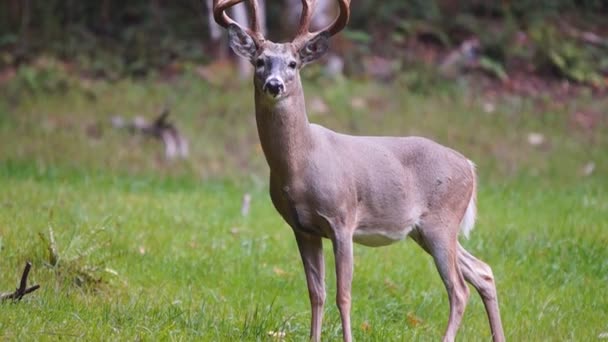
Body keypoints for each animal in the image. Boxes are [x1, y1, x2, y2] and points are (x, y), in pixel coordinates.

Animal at [211, 1, 506, 340]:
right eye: (260, 61)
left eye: (293, 64)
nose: (274, 84)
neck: (300, 165)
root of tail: (470, 166)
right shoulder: (302, 227)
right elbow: (316, 292)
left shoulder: (342, 219)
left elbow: (344, 294)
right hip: (425, 230)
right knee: (483, 272)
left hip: (441, 221)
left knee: (458, 289)